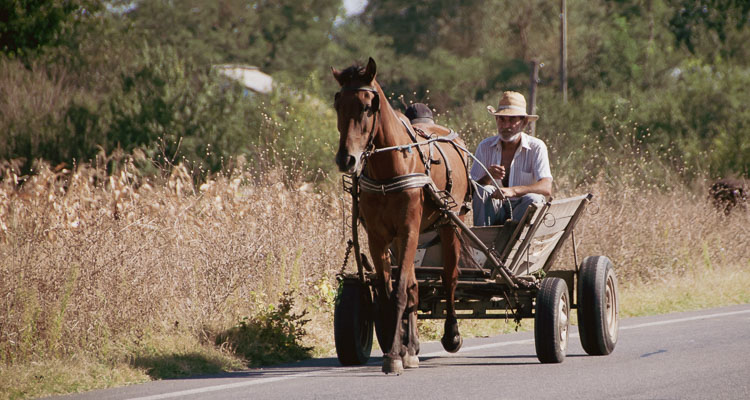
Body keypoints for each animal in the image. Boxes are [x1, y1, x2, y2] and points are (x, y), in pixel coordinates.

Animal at [334, 58, 472, 376]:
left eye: (367, 106)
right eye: (338, 104)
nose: (346, 159)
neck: (390, 167)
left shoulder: (409, 230)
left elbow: (399, 292)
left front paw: (395, 355)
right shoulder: (378, 236)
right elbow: (390, 294)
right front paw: (396, 350)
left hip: (450, 222)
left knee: (450, 277)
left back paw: (451, 334)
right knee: (413, 286)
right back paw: (412, 348)